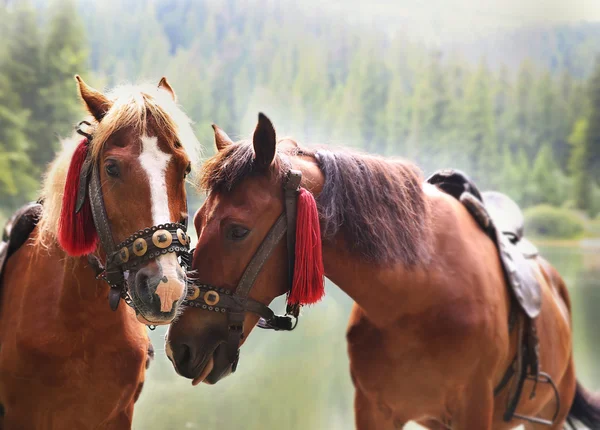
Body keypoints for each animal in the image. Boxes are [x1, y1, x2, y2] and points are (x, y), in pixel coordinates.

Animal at [166, 114, 600, 430]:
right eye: (198, 222)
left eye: (237, 230)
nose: (179, 349)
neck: (419, 298)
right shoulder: (375, 410)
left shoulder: (472, 413)